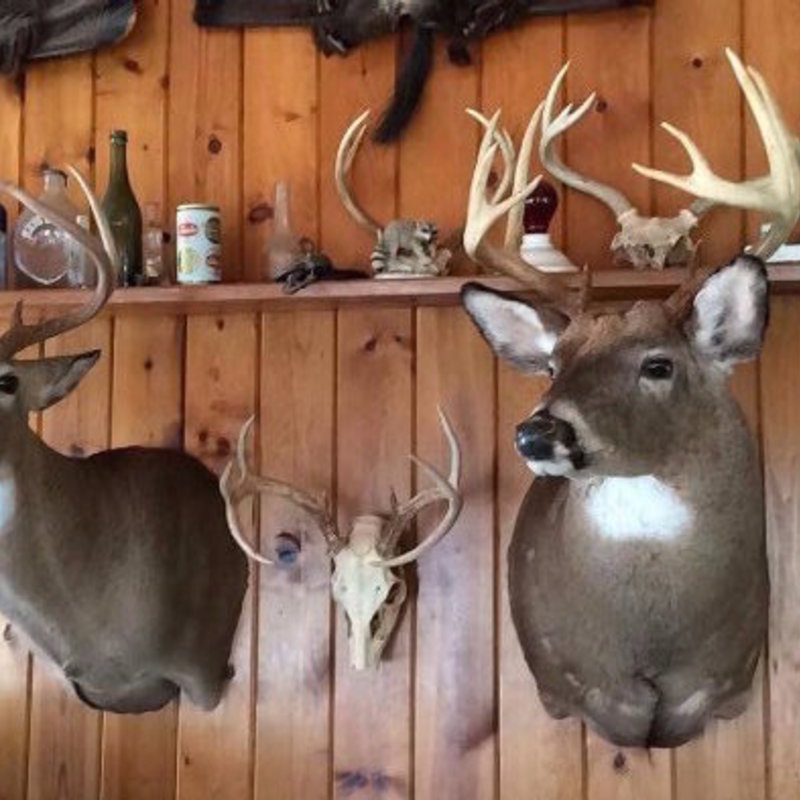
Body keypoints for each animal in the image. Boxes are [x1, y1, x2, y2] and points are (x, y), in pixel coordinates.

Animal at [455, 93, 794, 745]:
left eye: (658, 365)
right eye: (553, 363)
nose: (537, 432)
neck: (650, 642)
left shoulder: (730, 682)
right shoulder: (566, 687)